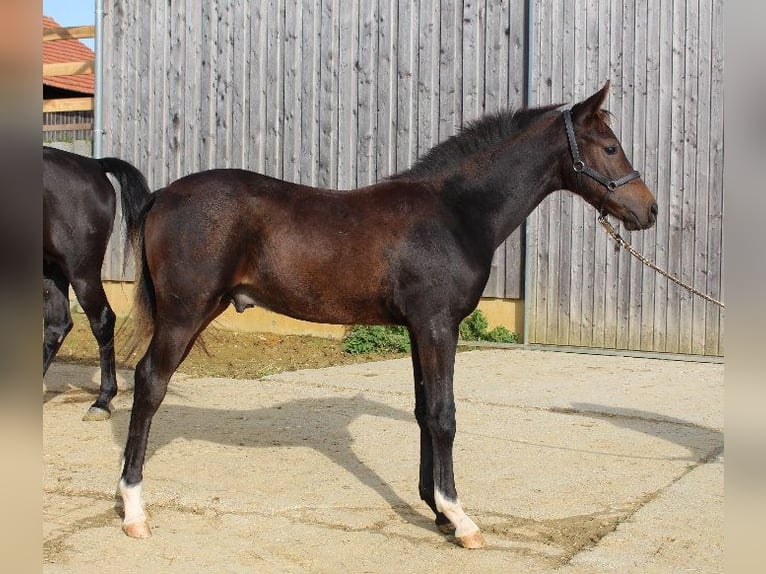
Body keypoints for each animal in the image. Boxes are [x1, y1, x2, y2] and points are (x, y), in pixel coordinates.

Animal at [43, 146, 152, 420]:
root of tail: (93, 165)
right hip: (52, 269)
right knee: (57, 326)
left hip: (81, 269)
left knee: (102, 320)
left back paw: (102, 401)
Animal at [118, 82, 657, 547]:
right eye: (610, 148)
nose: (648, 210)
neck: (454, 212)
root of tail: (162, 195)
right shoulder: (439, 325)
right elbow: (444, 415)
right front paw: (460, 519)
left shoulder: (420, 328)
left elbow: (423, 412)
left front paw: (436, 512)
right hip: (185, 314)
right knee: (149, 383)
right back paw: (134, 509)